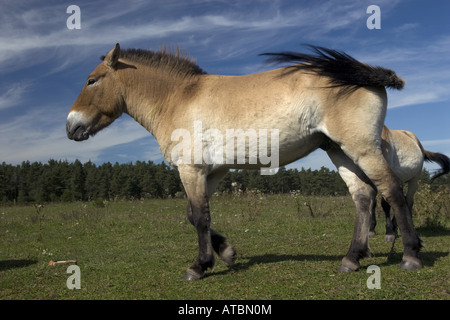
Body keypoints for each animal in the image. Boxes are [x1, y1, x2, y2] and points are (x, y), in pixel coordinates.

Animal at [66, 43, 422, 278]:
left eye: (92, 80)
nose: (71, 126)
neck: (178, 98)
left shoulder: (191, 170)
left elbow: (199, 217)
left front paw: (200, 266)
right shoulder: (212, 172)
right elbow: (196, 215)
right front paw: (226, 253)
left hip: (361, 148)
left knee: (392, 192)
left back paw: (410, 255)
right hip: (338, 150)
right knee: (364, 197)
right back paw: (351, 258)